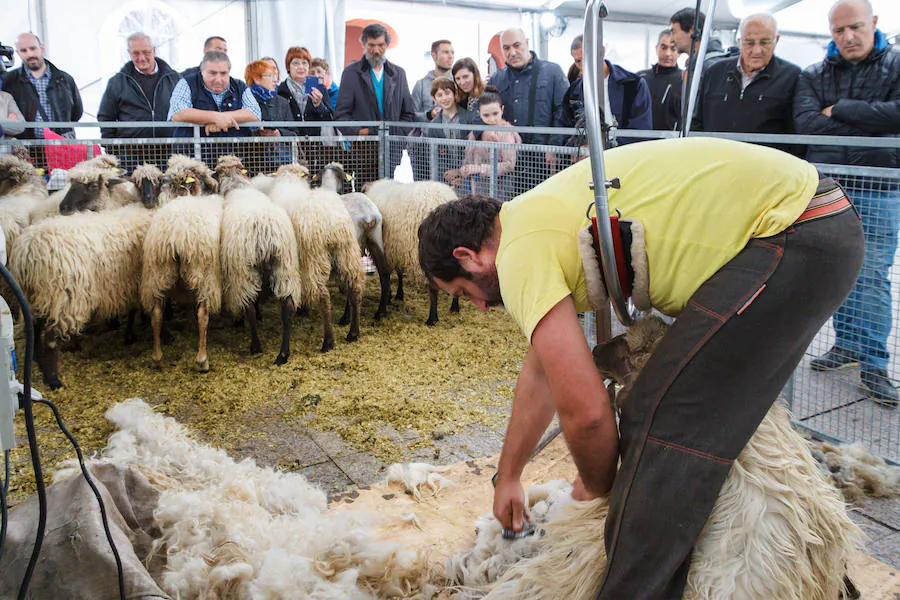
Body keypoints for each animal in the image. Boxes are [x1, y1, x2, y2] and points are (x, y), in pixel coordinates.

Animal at [142, 155, 225, 370]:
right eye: (205, 179)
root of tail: (176, 232)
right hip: (205, 274)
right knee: (203, 315)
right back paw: (202, 359)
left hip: (157, 271)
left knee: (156, 314)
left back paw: (157, 357)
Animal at [214, 155, 302, 364]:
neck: (237, 185)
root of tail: (265, 229)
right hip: (285, 266)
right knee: (287, 307)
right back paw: (283, 354)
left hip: (244, 270)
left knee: (249, 307)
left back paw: (255, 346)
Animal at [268, 163, 366, 352]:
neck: (289, 181)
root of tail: (332, 223)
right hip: (347, 252)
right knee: (354, 288)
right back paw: (353, 332)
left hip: (312, 257)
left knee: (323, 296)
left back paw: (328, 341)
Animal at [318, 159, 388, 322]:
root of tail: (367, 215)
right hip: (375, 238)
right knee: (384, 272)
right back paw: (381, 312)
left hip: (352, 245)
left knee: (353, 276)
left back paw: (346, 317)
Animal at [362, 178, 458, 326]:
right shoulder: (396, 248)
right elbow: (399, 272)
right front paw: (397, 295)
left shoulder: (385, 251)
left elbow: (385, 278)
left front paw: (384, 305)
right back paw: (454, 307)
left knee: (432, 286)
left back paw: (432, 318)